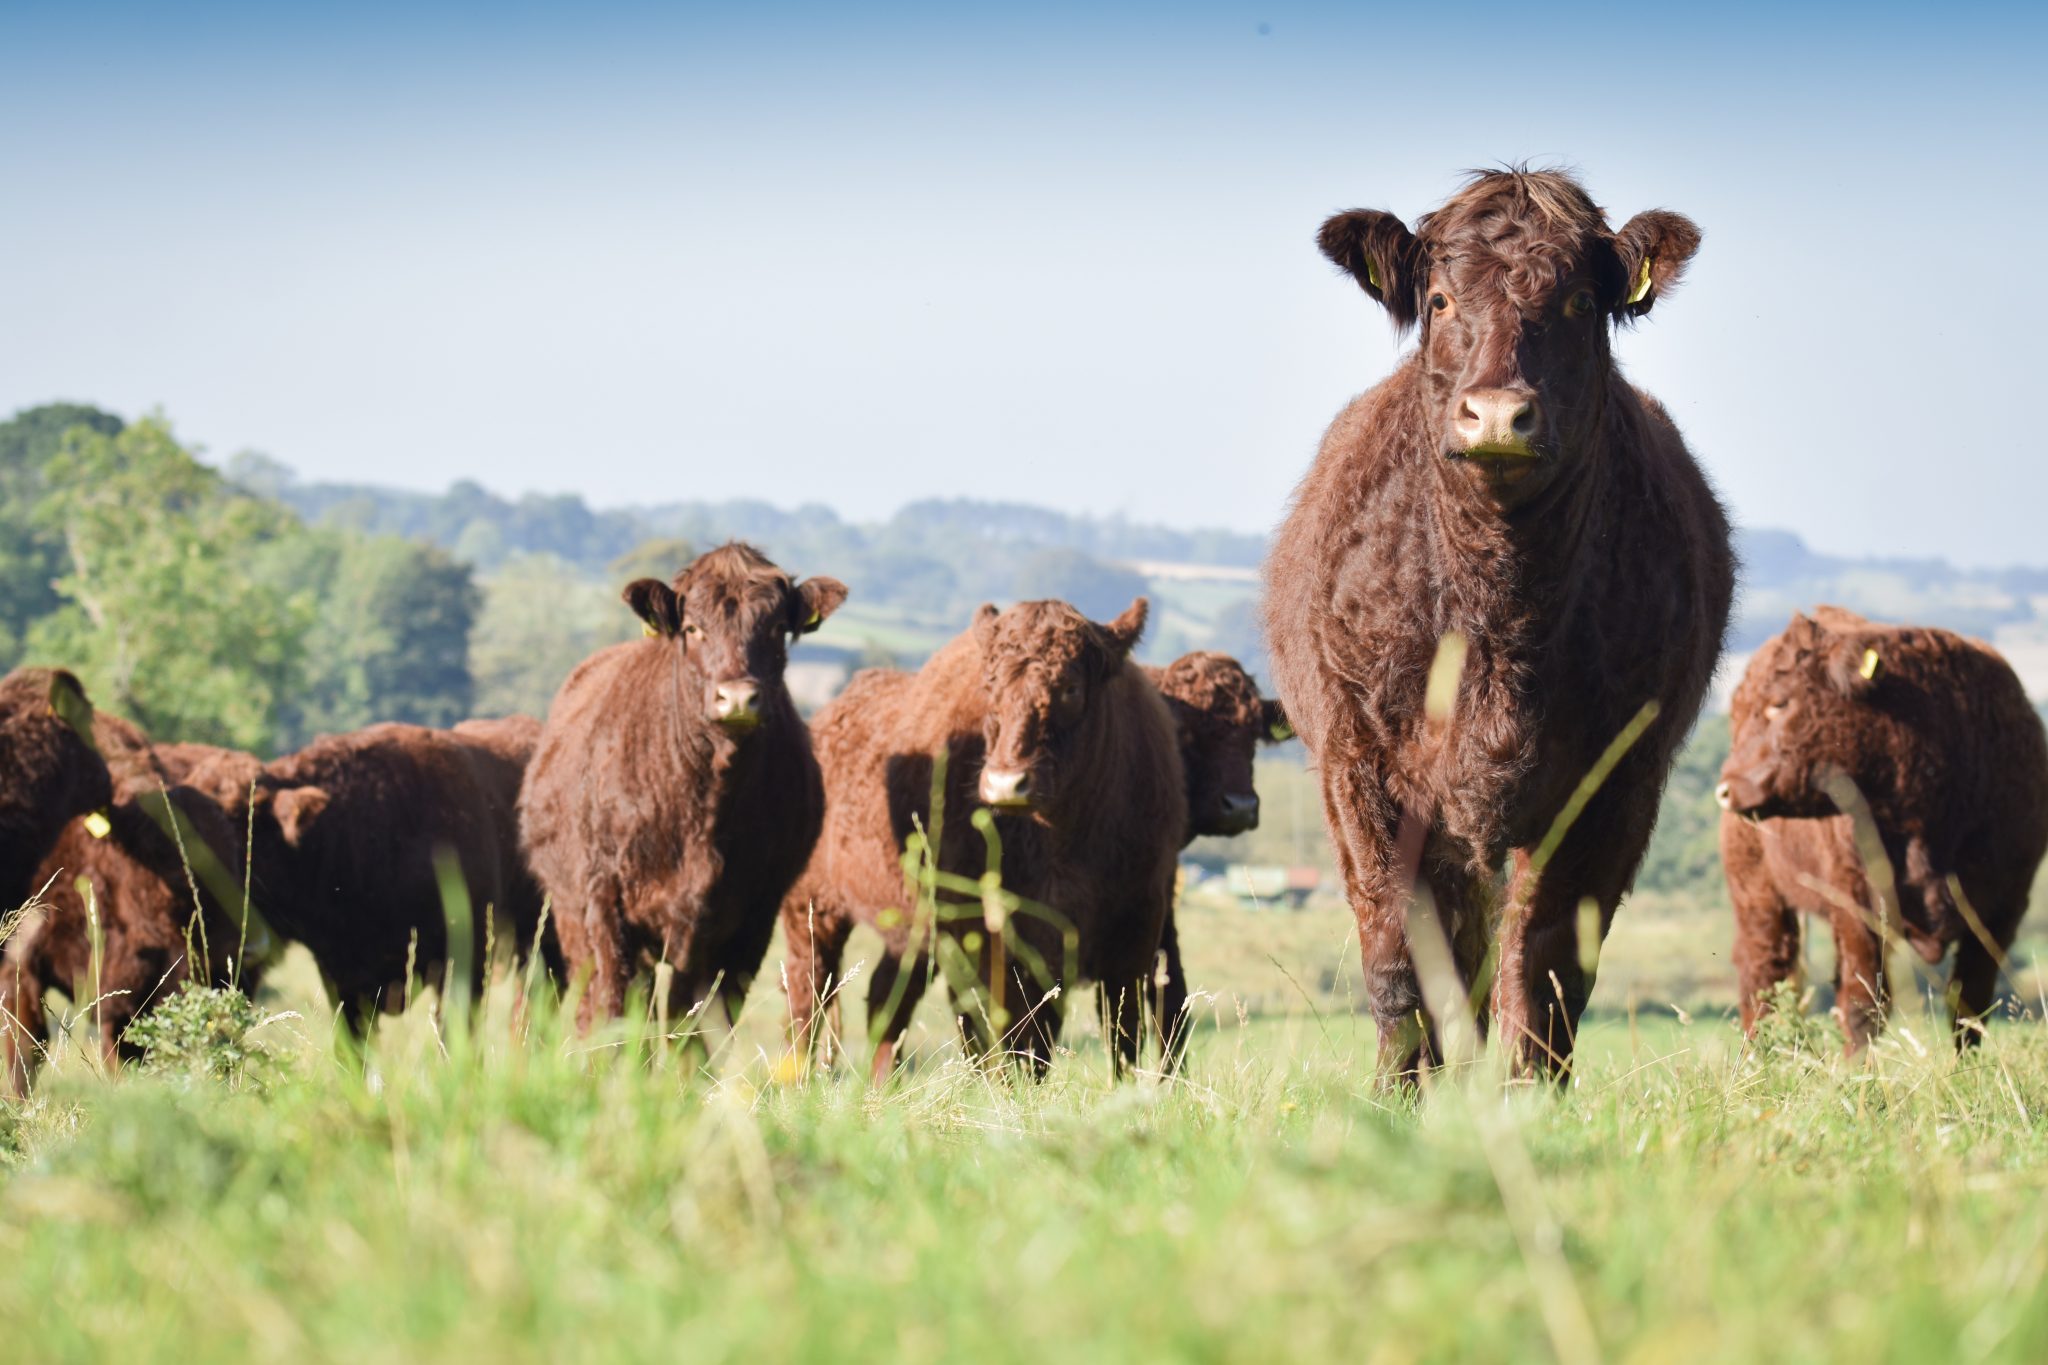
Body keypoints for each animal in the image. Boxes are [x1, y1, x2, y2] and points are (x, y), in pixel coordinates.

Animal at [520, 543, 847, 1033]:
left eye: (776, 627)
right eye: (693, 628)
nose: (737, 698)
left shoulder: (746, 925)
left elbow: (691, 1029)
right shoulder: (605, 906)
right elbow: (614, 1011)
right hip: (572, 915)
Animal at [780, 598, 1186, 1079]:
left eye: (1070, 688)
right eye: (990, 686)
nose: (1007, 783)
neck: (1063, 840)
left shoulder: (1136, 931)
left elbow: (1122, 1038)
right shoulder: (992, 944)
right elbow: (1010, 1036)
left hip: (909, 933)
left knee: (886, 999)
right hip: (811, 911)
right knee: (808, 998)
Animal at [1263, 167, 1734, 1081]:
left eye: (1581, 302)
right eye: (1442, 299)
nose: (1496, 414)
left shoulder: (1612, 784)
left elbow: (1546, 970)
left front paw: (1525, 1096)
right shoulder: (1360, 765)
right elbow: (1398, 963)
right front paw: (1400, 1097)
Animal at [1717, 608, 2048, 1049]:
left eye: (1779, 703)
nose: (1726, 788)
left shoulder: (2000, 909)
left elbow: (1969, 1010)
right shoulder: (1859, 908)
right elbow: (1863, 1008)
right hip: (1757, 893)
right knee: (1763, 976)